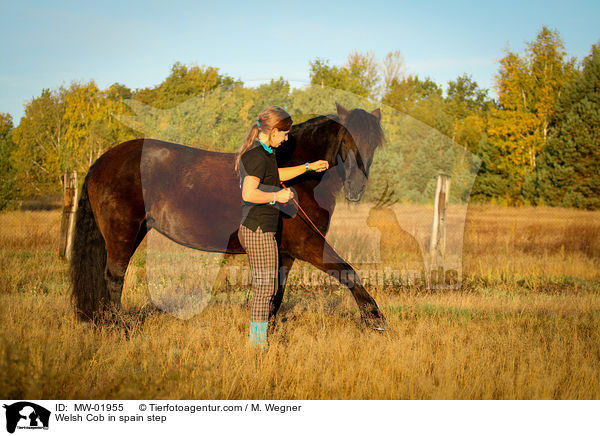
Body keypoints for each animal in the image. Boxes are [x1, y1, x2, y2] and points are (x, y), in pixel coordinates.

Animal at [70, 103, 390, 330]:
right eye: (346, 141)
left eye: (373, 144)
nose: (356, 189)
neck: (299, 181)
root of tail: (102, 161)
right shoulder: (307, 244)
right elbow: (347, 272)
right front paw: (376, 321)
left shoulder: (285, 251)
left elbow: (276, 291)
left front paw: (269, 329)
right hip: (122, 233)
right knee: (114, 277)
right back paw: (119, 327)